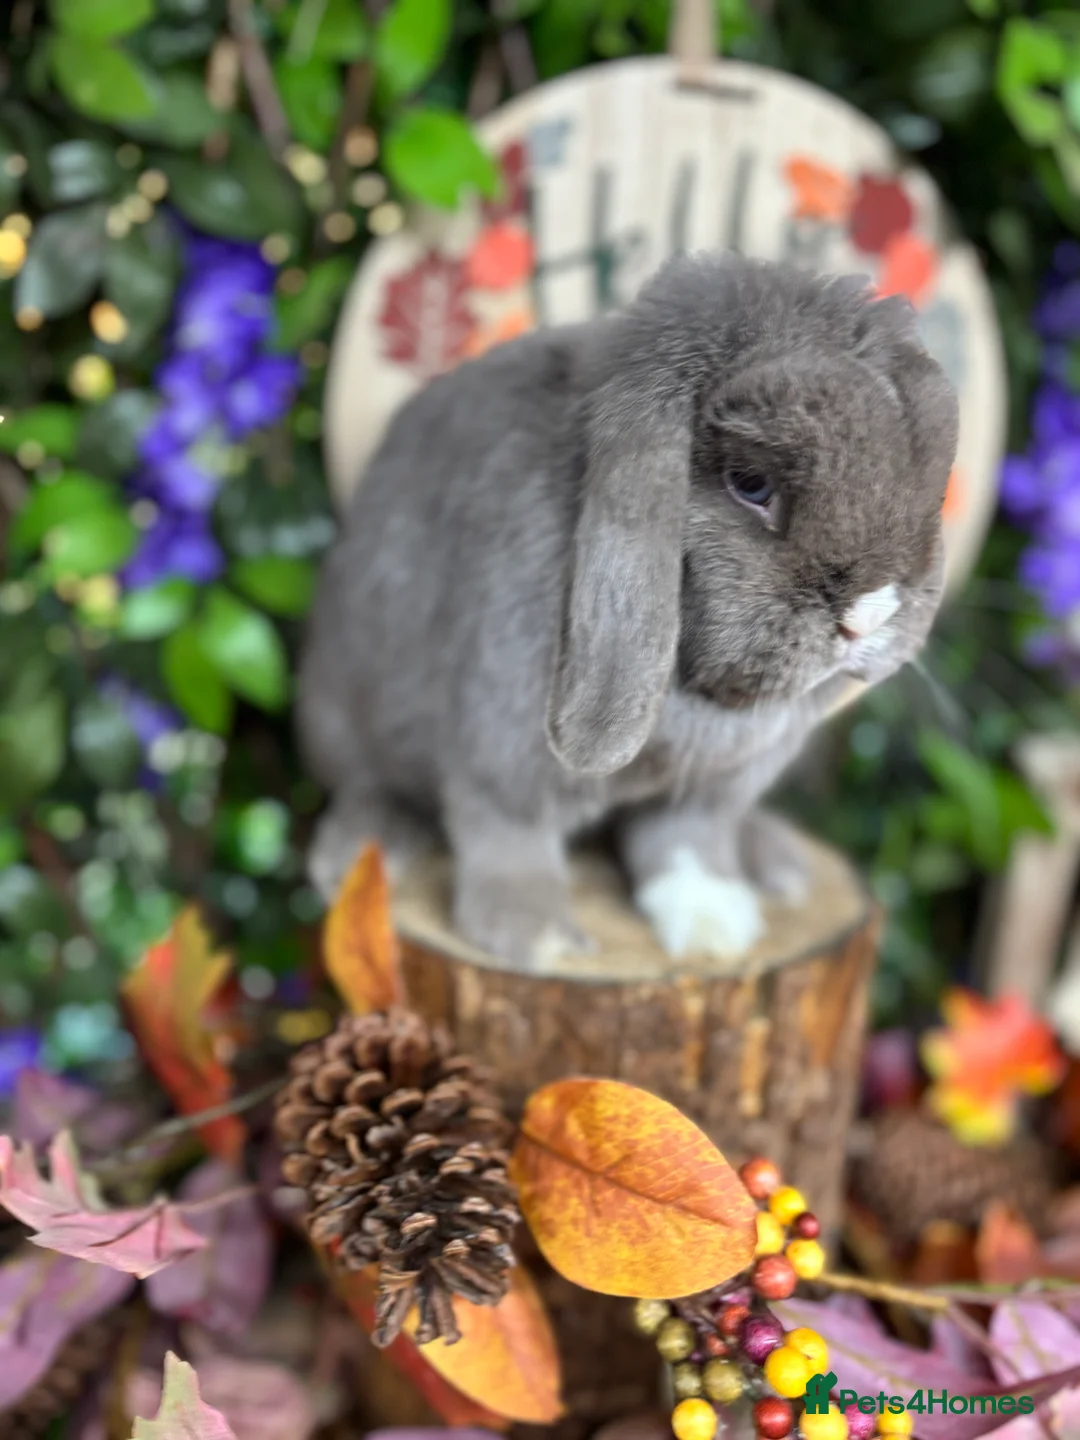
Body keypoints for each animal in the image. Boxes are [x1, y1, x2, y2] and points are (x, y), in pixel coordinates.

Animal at [298, 252, 958, 968]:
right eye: (751, 485)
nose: (868, 615)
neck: (699, 694)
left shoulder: (707, 790)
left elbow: (687, 844)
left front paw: (714, 927)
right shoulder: (498, 751)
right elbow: (508, 833)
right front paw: (535, 938)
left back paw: (776, 863)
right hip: (345, 718)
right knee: (370, 785)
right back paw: (361, 851)